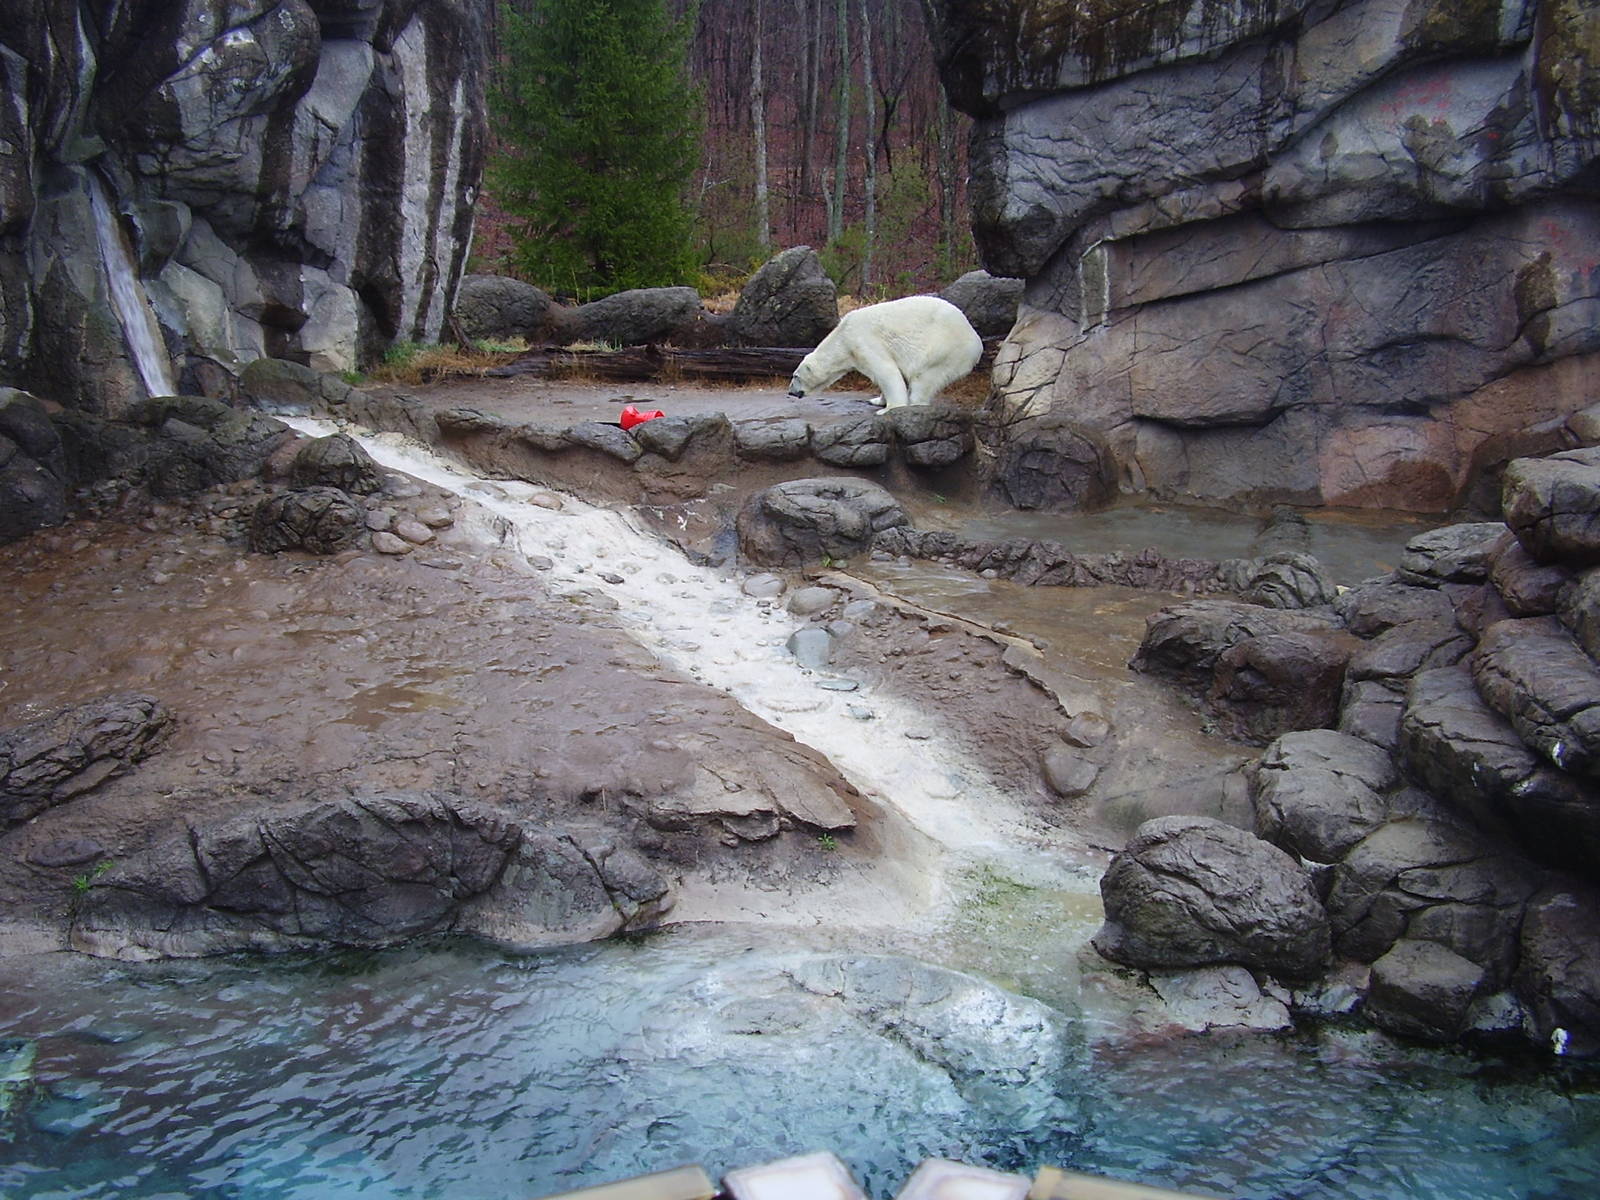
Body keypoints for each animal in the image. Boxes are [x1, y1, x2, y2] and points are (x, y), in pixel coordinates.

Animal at [787, 294, 983, 410]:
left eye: (795, 376)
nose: (790, 392)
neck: (842, 335)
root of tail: (977, 342)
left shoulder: (862, 340)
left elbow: (885, 370)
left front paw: (890, 408)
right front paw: (877, 400)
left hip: (944, 349)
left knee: (924, 378)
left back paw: (915, 404)